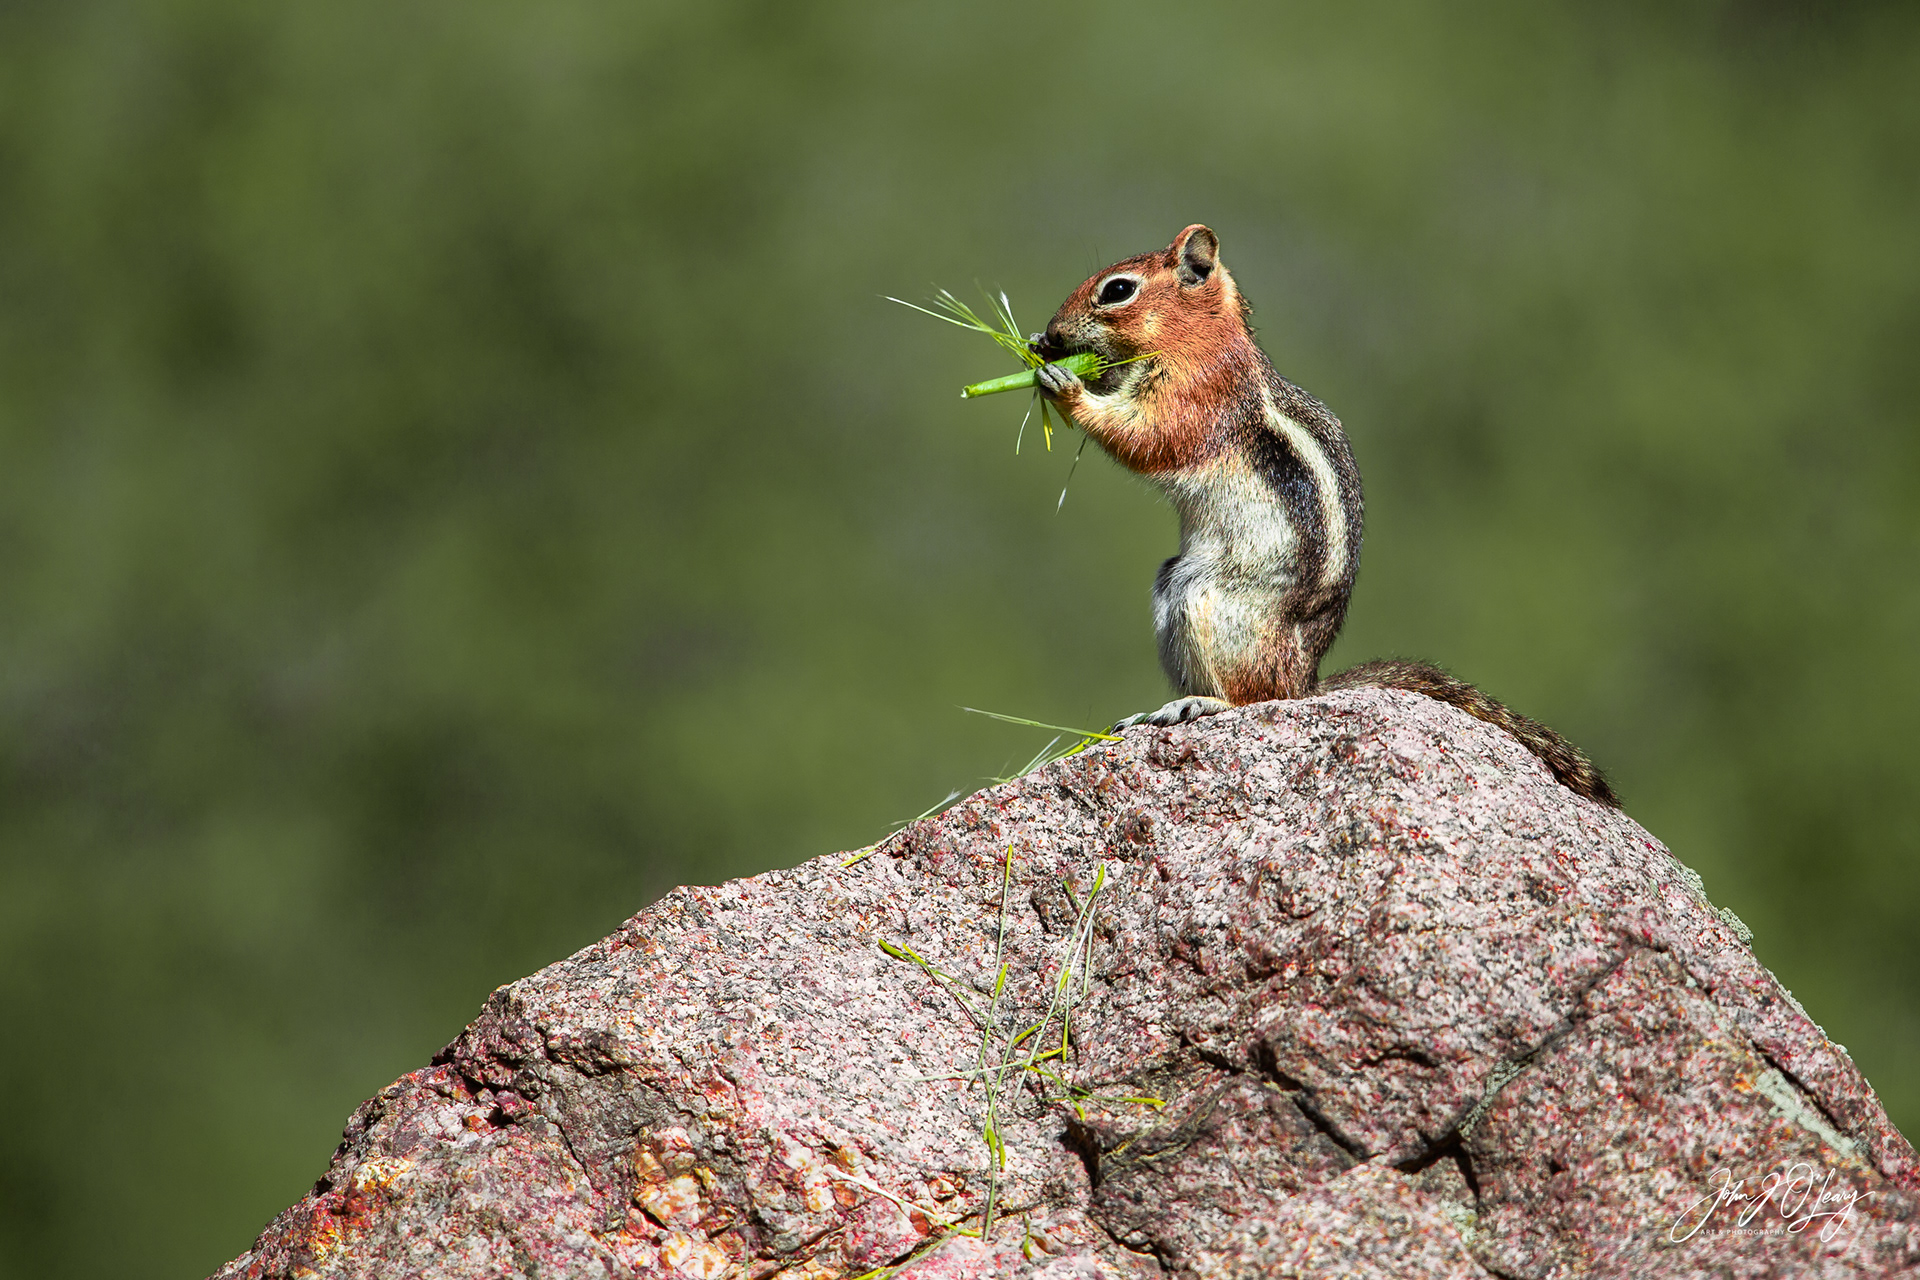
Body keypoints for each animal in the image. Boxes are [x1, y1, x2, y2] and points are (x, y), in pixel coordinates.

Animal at [1033, 224, 1618, 807]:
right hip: (1173, 585)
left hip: (1212, 602)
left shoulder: (1195, 396)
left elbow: (1144, 437)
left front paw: (1063, 383)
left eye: (1117, 290)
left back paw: (1199, 704)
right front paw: (1039, 352)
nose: (1052, 332)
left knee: (1259, 698)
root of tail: (1306, 682)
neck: (1205, 337)